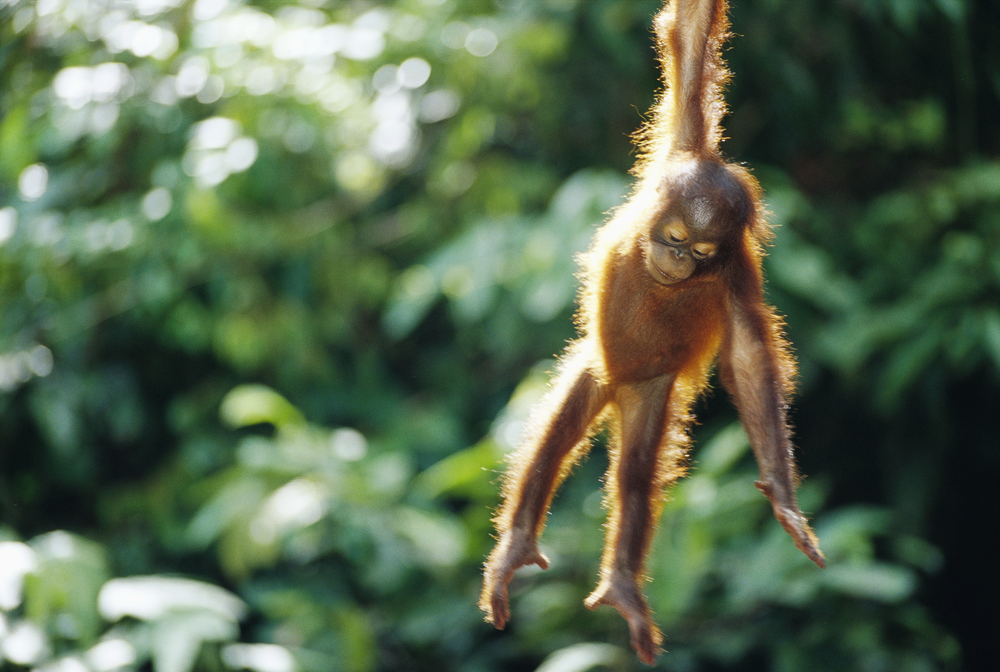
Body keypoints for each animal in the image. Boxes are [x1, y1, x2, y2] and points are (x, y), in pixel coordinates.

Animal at [479, 0, 824, 664]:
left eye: (702, 251)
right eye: (675, 238)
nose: (681, 261)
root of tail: (619, 385)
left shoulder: (735, 272)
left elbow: (747, 359)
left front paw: (783, 495)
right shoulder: (679, 151)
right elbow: (688, 42)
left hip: (651, 389)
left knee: (636, 475)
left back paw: (621, 589)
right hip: (594, 367)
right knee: (555, 437)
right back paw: (516, 548)